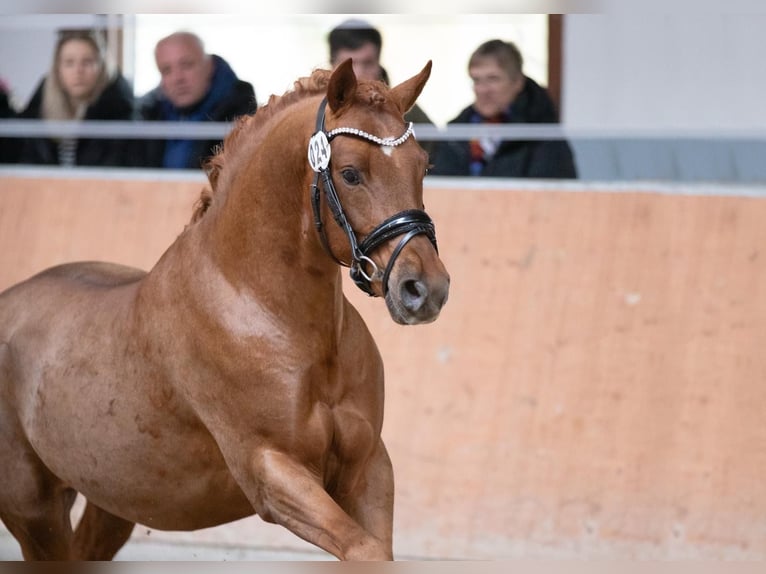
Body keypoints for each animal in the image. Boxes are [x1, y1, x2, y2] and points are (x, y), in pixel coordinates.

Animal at [0, 59, 450, 564]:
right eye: (351, 173)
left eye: (423, 166)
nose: (424, 290)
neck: (268, 314)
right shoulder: (271, 472)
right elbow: (363, 550)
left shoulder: (367, 467)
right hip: (33, 512)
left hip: (111, 504)